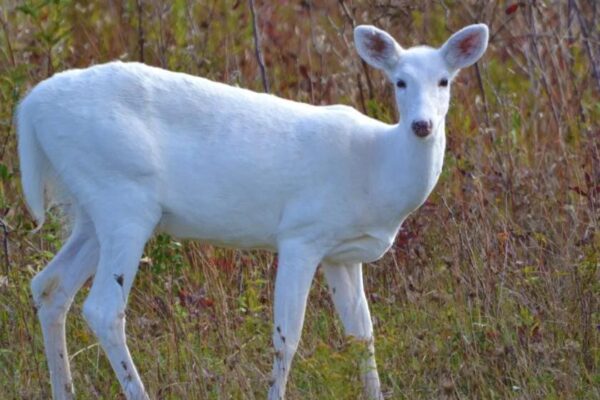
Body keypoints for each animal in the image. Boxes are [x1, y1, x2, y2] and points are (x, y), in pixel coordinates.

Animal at [17, 23, 488, 398]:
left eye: (444, 81)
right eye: (399, 82)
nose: (422, 125)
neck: (376, 167)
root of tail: (29, 107)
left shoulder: (342, 254)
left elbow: (362, 335)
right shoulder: (301, 233)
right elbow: (287, 336)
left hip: (92, 210)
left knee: (49, 286)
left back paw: (63, 389)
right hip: (123, 198)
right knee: (102, 309)